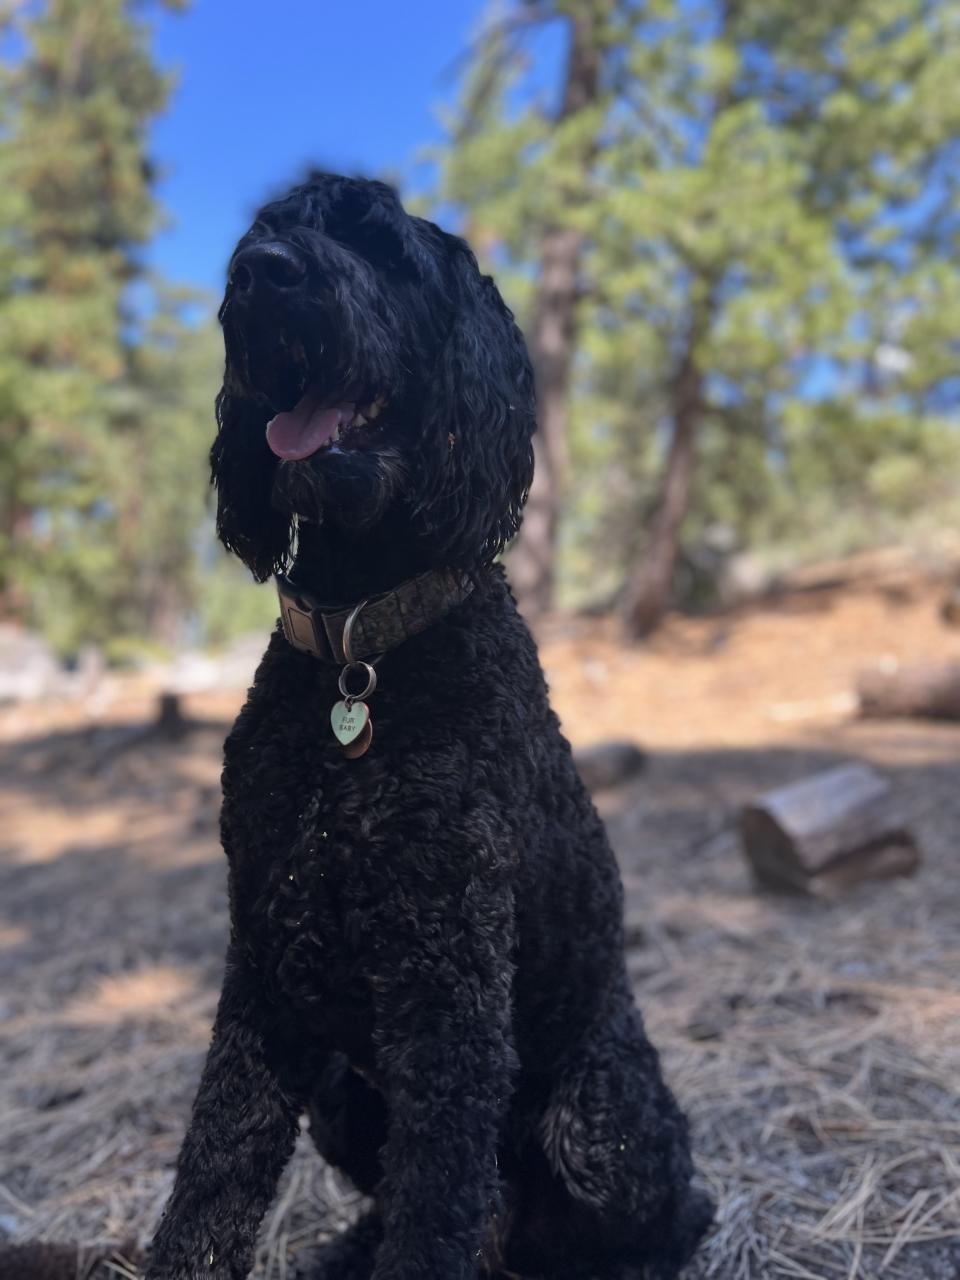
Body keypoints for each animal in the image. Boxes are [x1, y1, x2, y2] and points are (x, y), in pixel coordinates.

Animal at [144, 172, 716, 1280]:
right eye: (269, 231)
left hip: (597, 1117)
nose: (262, 274)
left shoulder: (446, 996)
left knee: (663, 1211)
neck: (359, 644)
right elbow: (213, 1174)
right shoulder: (262, 969)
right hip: (343, 1093)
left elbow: (436, 1206)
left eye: (381, 247)